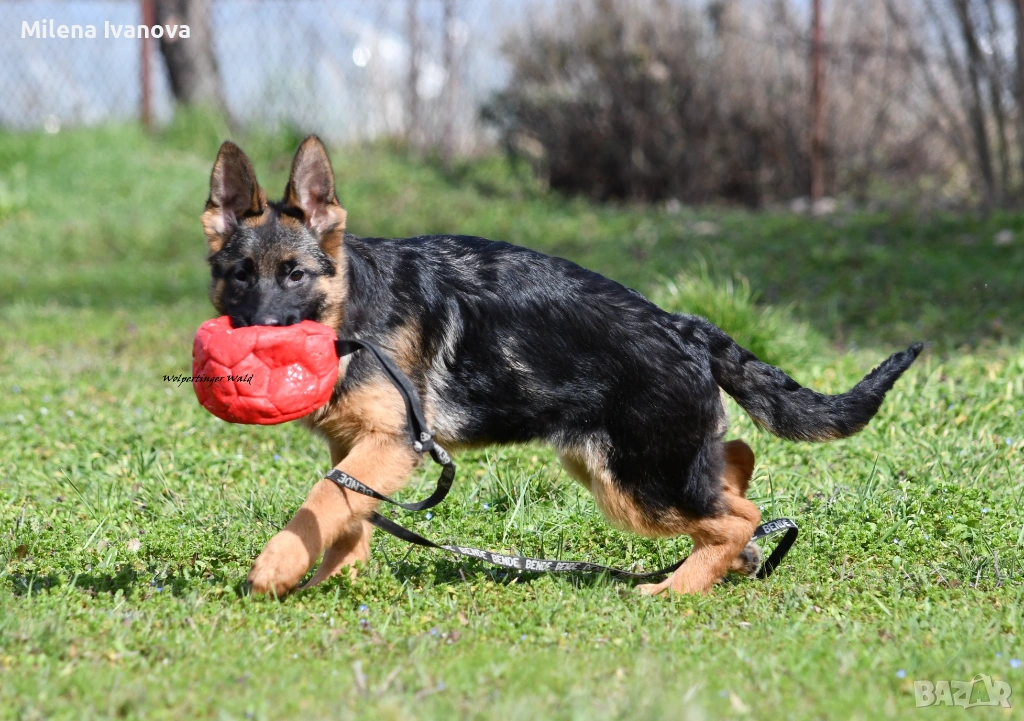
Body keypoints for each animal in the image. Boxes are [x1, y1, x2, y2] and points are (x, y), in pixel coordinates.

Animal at [200, 136, 921, 597]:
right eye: (239, 278)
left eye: (294, 275)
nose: (259, 345)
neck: (352, 309)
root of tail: (684, 325)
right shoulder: (360, 447)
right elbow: (347, 513)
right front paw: (329, 582)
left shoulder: (394, 441)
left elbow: (322, 499)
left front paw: (275, 571)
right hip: (623, 463)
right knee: (735, 464)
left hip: (633, 482)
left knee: (734, 514)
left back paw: (675, 590)